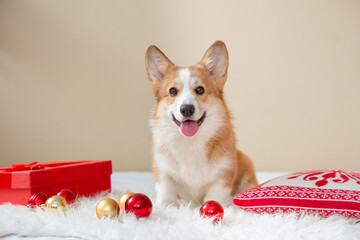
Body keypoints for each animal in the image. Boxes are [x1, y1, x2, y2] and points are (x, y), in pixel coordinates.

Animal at [145, 40, 258, 206]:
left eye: (200, 89)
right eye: (172, 91)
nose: (186, 109)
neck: (190, 141)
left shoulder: (222, 175)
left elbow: (214, 199)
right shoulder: (163, 172)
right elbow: (165, 198)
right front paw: (164, 207)